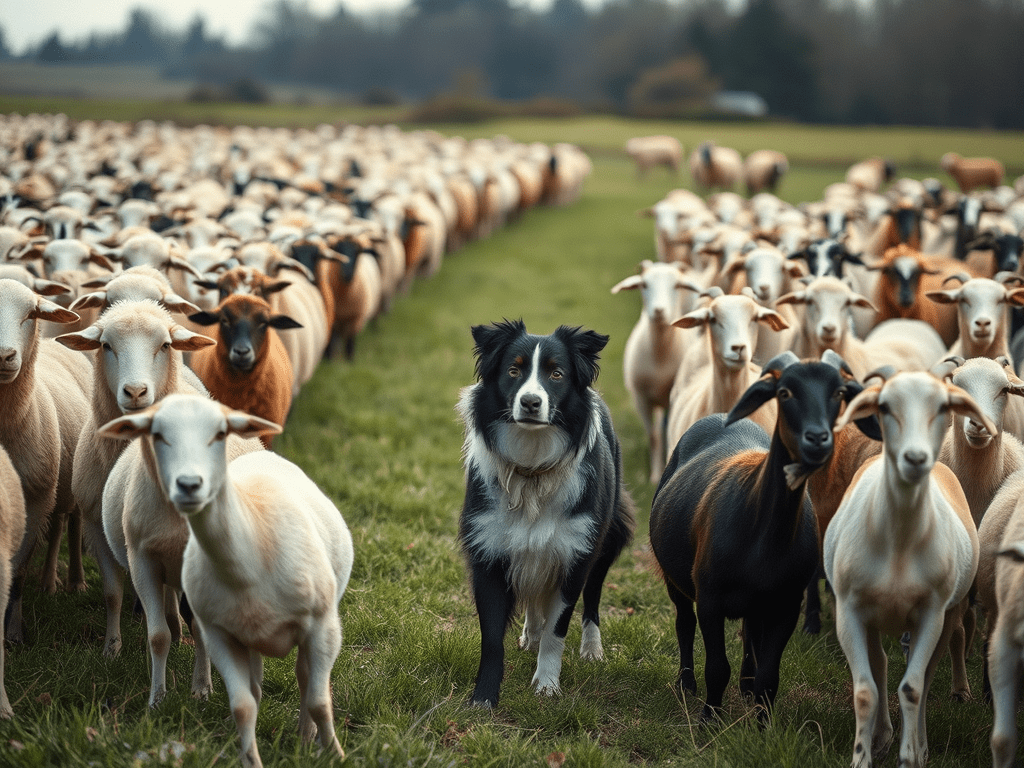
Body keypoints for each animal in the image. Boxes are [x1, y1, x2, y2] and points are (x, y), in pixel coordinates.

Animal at [97, 394, 353, 768]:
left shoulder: (322, 628)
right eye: (156, 434)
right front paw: (158, 701)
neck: (246, 562)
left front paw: (334, 752)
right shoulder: (218, 631)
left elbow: (319, 701)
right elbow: (241, 705)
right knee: (258, 685)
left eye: (220, 433)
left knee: (306, 679)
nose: (189, 485)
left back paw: (307, 738)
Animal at [611, 260, 705, 482]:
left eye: (677, 285)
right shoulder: (640, 397)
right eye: (644, 285)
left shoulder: (672, 399)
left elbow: (667, 434)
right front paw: (654, 475)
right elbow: (653, 437)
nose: (659, 311)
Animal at [650, 350, 857, 720]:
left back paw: (745, 686)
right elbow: (717, 668)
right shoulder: (710, 599)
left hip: (758, 599)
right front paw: (709, 719)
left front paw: (763, 723)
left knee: (749, 632)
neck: (764, 535)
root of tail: (720, 415)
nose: (817, 439)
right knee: (684, 624)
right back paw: (685, 684)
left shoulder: (786, 605)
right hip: (676, 579)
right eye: (785, 392)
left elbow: (769, 676)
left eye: (839, 392)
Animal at [825, 371, 987, 767]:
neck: (898, 538)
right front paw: (862, 756)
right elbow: (865, 691)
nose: (915, 458)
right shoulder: (849, 611)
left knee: (924, 678)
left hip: (948, 613)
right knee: (881, 665)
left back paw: (919, 743)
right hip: (872, 615)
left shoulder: (931, 613)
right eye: (884, 406)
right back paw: (882, 736)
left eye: (944, 406)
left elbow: (913, 687)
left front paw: (910, 755)